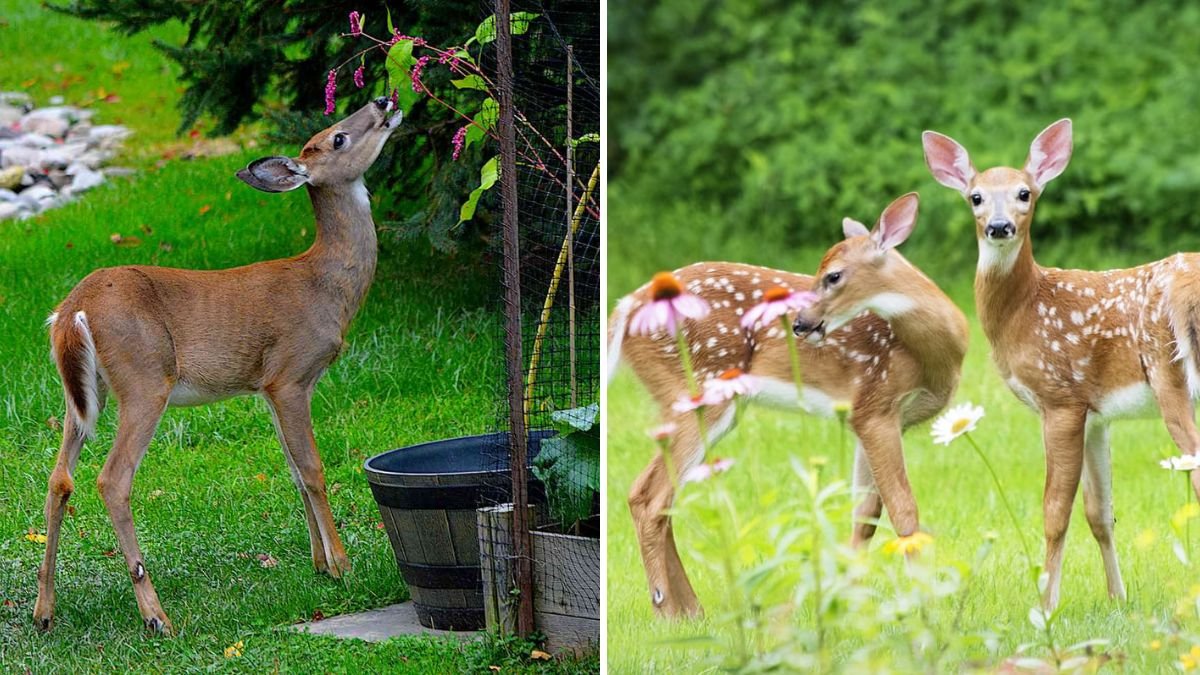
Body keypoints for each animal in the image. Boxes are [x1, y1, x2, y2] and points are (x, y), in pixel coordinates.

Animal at [32, 97, 403, 634]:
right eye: (338, 138)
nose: (384, 101)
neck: (326, 285)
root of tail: (71, 310)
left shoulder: (266, 385)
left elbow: (293, 469)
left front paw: (319, 564)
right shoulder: (291, 373)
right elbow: (312, 468)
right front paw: (342, 565)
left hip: (81, 393)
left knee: (59, 479)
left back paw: (45, 611)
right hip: (145, 379)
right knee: (112, 479)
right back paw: (156, 615)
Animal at [607, 193, 969, 617]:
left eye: (833, 276)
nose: (800, 323)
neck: (934, 354)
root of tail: (627, 305)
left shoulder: (873, 419)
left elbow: (865, 514)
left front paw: (842, 602)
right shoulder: (877, 405)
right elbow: (904, 511)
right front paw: (926, 607)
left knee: (652, 495)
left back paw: (692, 612)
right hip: (702, 388)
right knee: (652, 497)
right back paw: (668, 611)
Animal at [923, 118, 1200, 611]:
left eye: (1024, 193)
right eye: (975, 196)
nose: (999, 226)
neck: (1025, 310)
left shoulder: (1061, 398)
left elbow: (1055, 510)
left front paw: (1044, 607)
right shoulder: (1096, 414)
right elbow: (1100, 512)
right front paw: (1117, 599)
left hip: (1169, 376)